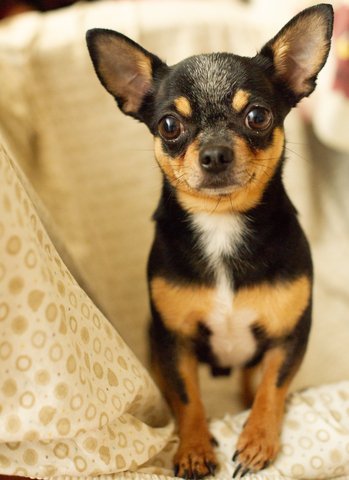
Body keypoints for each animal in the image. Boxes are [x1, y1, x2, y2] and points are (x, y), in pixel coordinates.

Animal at [86, 2, 332, 476]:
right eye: (169, 125)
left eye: (257, 116)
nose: (215, 154)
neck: (222, 224)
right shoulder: (173, 340)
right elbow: (187, 397)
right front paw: (195, 448)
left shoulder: (289, 336)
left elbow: (271, 388)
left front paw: (256, 441)